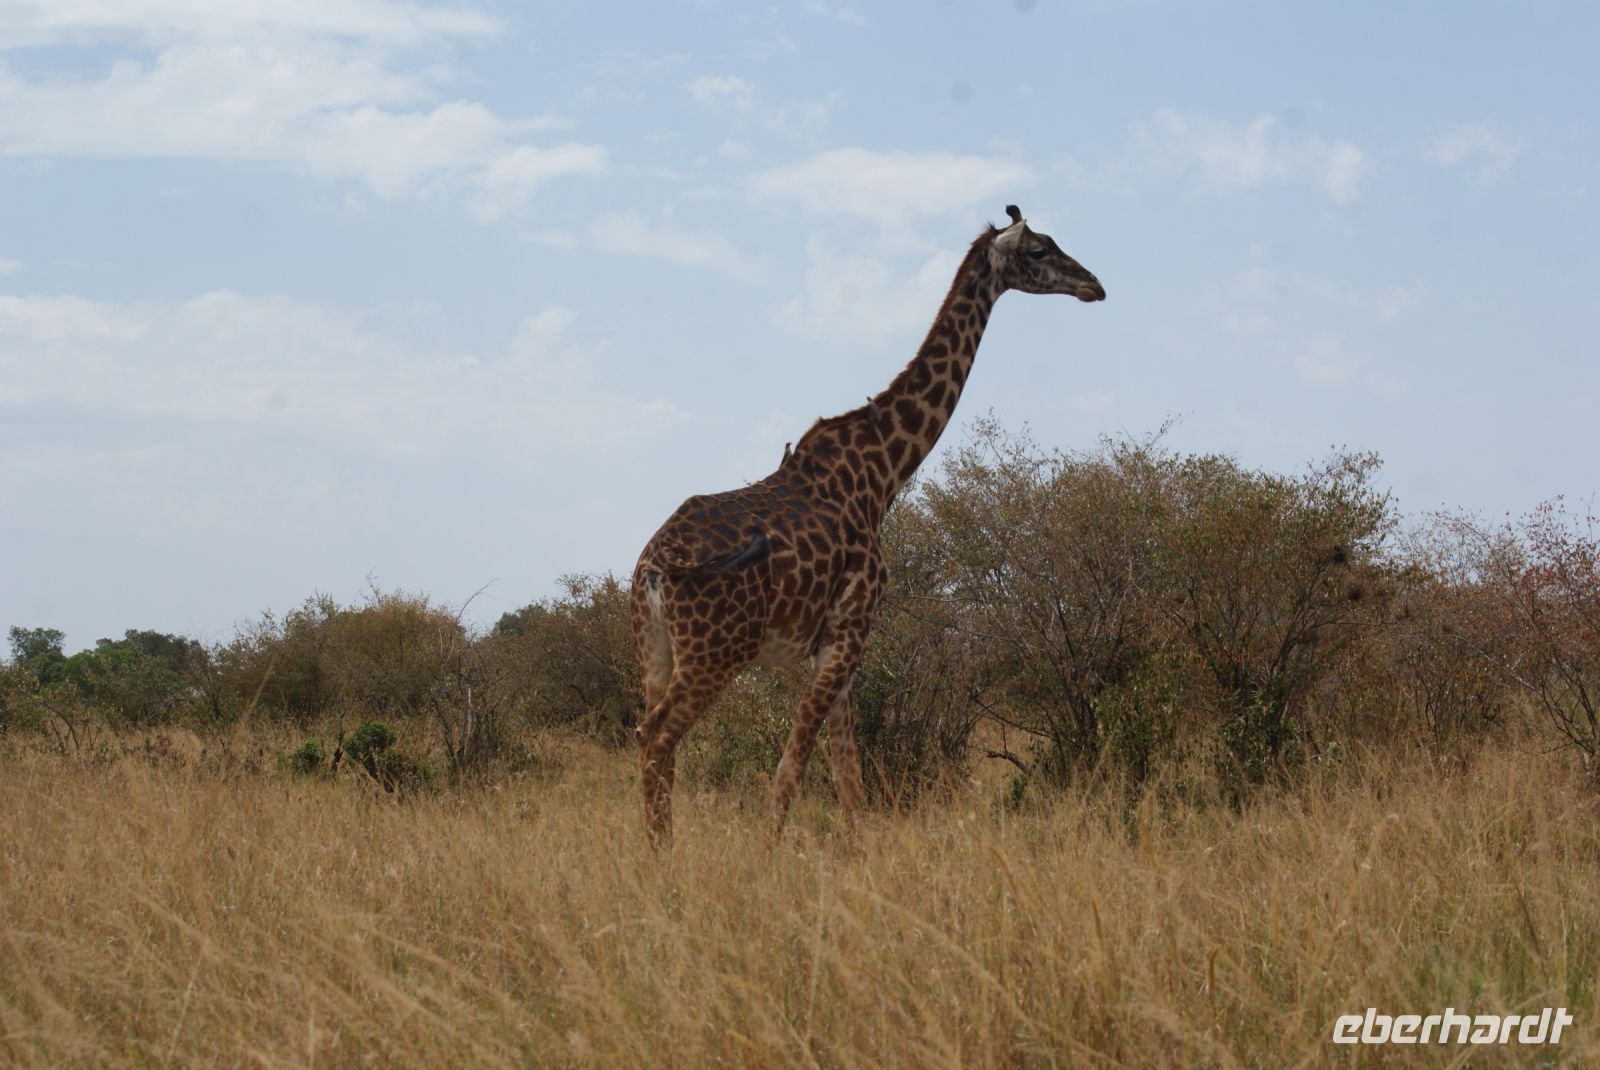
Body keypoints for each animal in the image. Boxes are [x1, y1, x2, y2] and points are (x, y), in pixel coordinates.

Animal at [630, 205, 1105, 844]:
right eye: (1038, 250)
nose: (1093, 285)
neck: (882, 473)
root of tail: (654, 567)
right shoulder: (849, 629)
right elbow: (793, 769)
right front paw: (769, 855)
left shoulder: (836, 644)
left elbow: (848, 779)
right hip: (717, 653)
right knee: (658, 738)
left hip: (654, 649)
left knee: (653, 744)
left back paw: (658, 856)